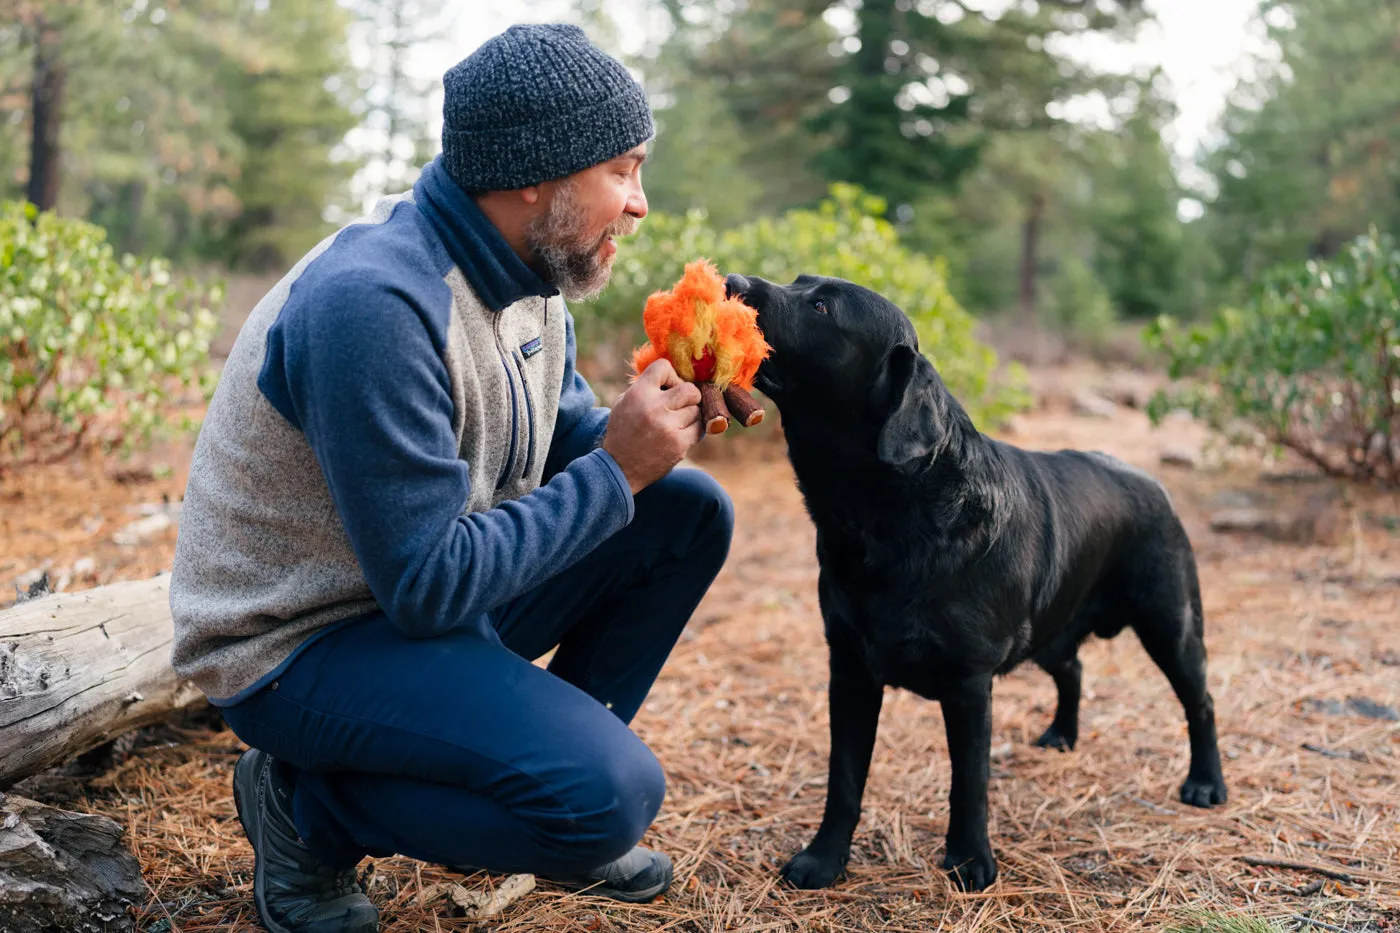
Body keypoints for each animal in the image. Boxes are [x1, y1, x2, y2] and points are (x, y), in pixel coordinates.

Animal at [722, 268, 1226, 885]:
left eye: (821, 306)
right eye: (799, 280)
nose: (733, 279)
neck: (886, 517)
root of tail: (1150, 481)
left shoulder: (967, 683)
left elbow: (969, 783)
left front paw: (968, 860)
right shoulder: (850, 670)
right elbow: (844, 781)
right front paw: (823, 858)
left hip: (1170, 623)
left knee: (1200, 702)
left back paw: (1206, 783)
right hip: (1054, 629)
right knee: (1074, 669)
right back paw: (1061, 735)